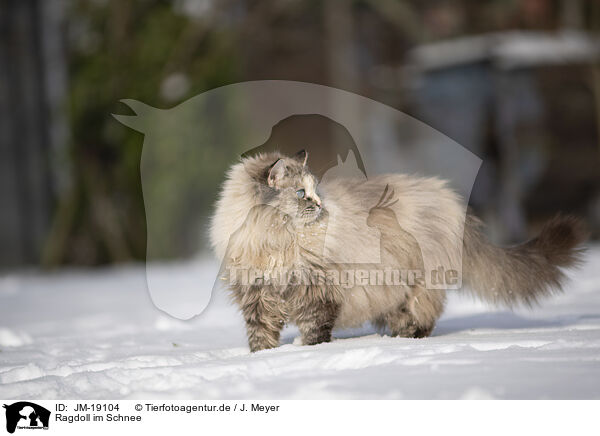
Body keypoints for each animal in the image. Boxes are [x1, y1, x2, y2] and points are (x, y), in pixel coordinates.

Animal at [210, 152, 584, 352]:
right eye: (302, 193)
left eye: (315, 191)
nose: (320, 205)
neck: (276, 241)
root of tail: (447, 199)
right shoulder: (257, 294)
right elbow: (260, 335)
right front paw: (263, 357)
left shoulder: (316, 290)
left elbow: (315, 328)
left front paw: (306, 351)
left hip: (415, 284)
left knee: (423, 318)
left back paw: (405, 342)